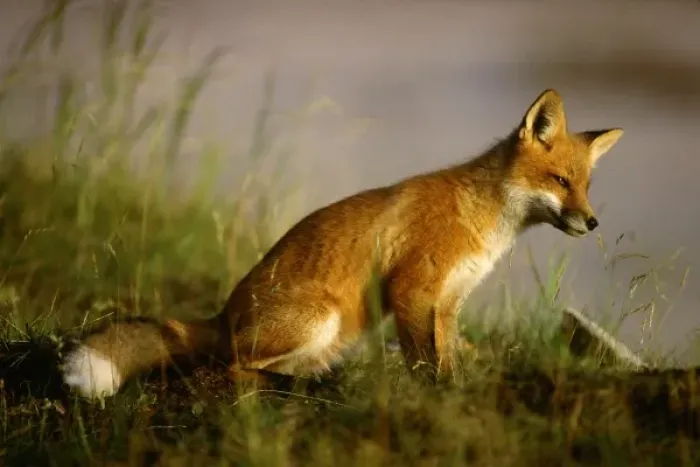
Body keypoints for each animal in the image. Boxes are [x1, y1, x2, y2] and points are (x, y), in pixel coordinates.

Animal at [62, 89, 624, 398]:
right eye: (559, 181)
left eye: (587, 186)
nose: (594, 222)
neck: (483, 220)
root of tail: (221, 317)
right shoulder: (411, 291)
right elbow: (424, 364)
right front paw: (434, 401)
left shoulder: (447, 303)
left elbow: (448, 361)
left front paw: (456, 393)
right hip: (320, 317)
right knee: (234, 369)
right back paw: (285, 388)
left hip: (334, 335)